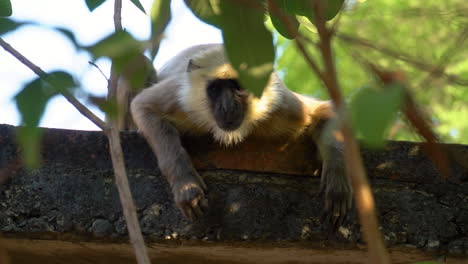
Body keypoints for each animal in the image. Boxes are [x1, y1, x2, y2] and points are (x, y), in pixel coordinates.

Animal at [130, 44, 352, 230]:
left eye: (238, 87)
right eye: (215, 89)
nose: (227, 108)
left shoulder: (281, 106)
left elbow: (323, 111)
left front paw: (337, 181)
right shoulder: (179, 96)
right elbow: (142, 105)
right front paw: (186, 185)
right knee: (138, 60)